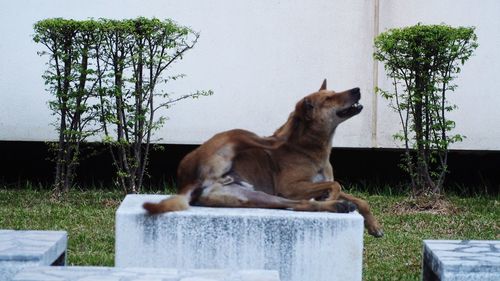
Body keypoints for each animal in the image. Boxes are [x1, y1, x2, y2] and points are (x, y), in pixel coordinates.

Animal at [144, 79, 382, 236]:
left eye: (333, 93)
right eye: (329, 98)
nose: (357, 89)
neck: (312, 150)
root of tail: (189, 181)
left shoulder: (306, 187)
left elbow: (359, 199)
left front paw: (373, 225)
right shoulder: (290, 187)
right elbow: (336, 184)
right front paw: (332, 196)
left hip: (255, 196)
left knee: (298, 205)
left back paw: (337, 206)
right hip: (244, 136)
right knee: (277, 138)